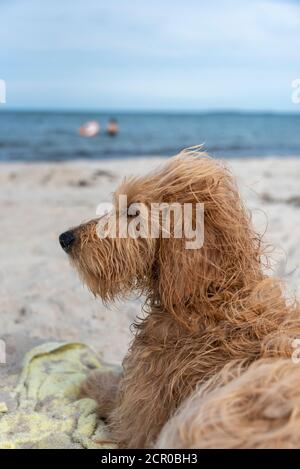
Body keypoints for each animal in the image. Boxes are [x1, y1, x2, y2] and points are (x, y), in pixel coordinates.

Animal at [59, 149, 300, 446]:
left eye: (133, 213)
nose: (65, 238)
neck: (209, 296)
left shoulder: (134, 419)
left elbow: (107, 391)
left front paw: (90, 379)